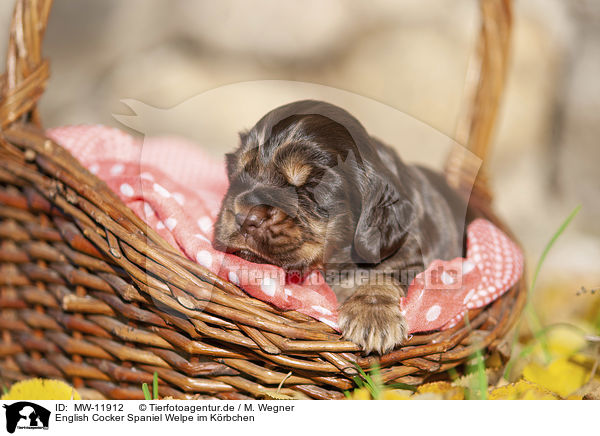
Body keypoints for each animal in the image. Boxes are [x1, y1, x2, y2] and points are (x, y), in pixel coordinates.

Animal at [213, 101, 466, 354]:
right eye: (239, 171)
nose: (245, 217)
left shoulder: (407, 251)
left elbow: (383, 274)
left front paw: (372, 316)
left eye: (311, 186)